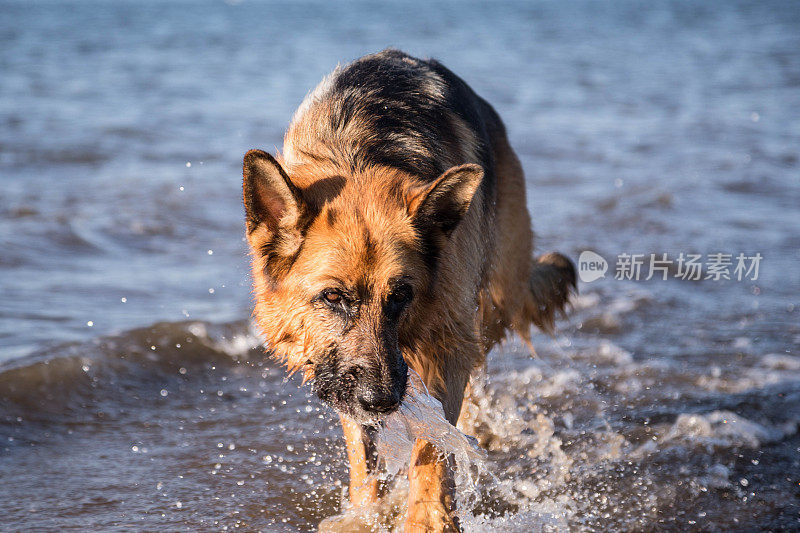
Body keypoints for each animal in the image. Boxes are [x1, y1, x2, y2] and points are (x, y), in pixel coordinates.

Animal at [244, 48, 576, 528]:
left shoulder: (446, 344)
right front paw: (365, 516)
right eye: (332, 298)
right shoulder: (345, 377)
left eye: (401, 296)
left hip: (491, 304)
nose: (382, 400)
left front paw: (429, 521)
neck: (358, 156)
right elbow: (365, 459)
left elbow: (433, 450)